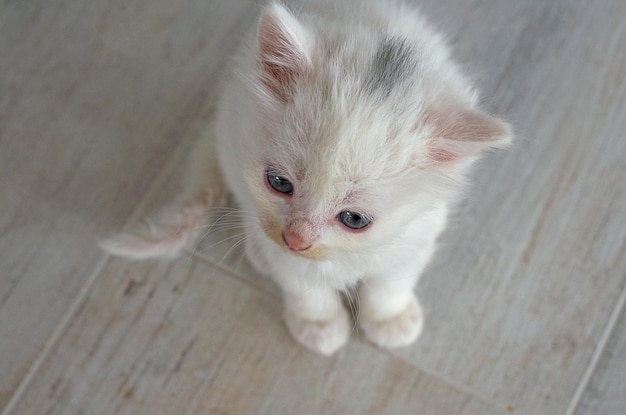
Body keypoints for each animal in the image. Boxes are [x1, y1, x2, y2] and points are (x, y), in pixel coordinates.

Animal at [103, 0, 512, 358]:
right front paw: (318, 325)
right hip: (230, 134)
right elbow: (303, 284)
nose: (296, 239)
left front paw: (389, 319)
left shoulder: (418, 232)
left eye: (354, 219)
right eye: (279, 182)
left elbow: (390, 282)